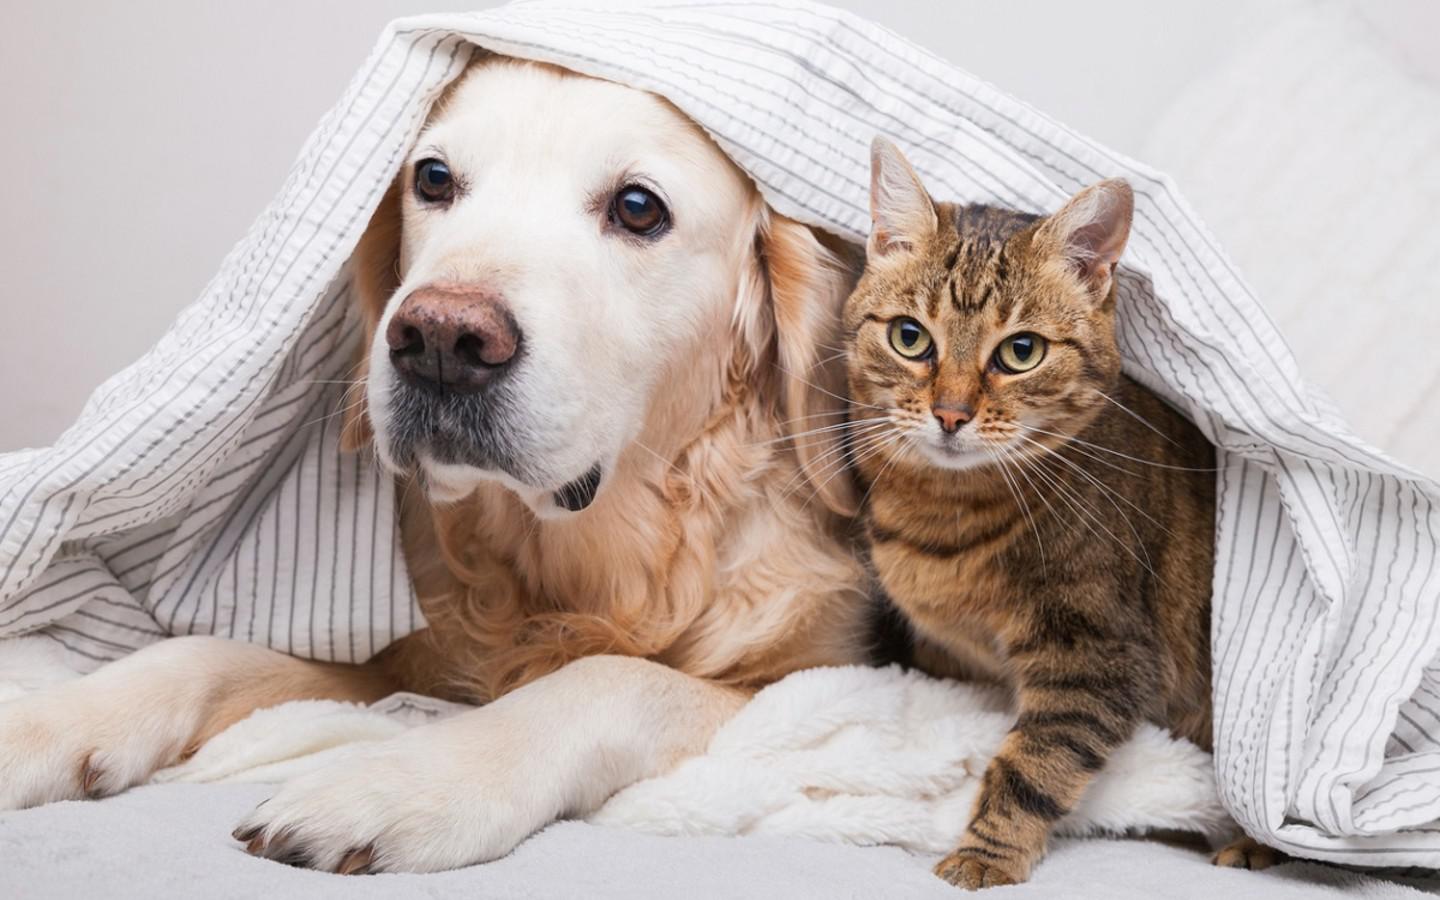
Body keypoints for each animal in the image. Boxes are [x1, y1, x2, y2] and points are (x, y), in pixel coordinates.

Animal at [0, 56, 875, 869]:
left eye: (637, 208)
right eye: (433, 178)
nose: (442, 341)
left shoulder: (817, 678)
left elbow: (609, 678)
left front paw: (404, 782)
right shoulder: (404, 658)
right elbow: (200, 653)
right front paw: (47, 723)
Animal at [840, 138, 1272, 887]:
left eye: (1021, 351)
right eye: (909, 337)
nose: (950, 413)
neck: (944, 518)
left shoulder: (1098, 654)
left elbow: (1032, 765)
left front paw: (983, 857)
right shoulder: (950, 659)